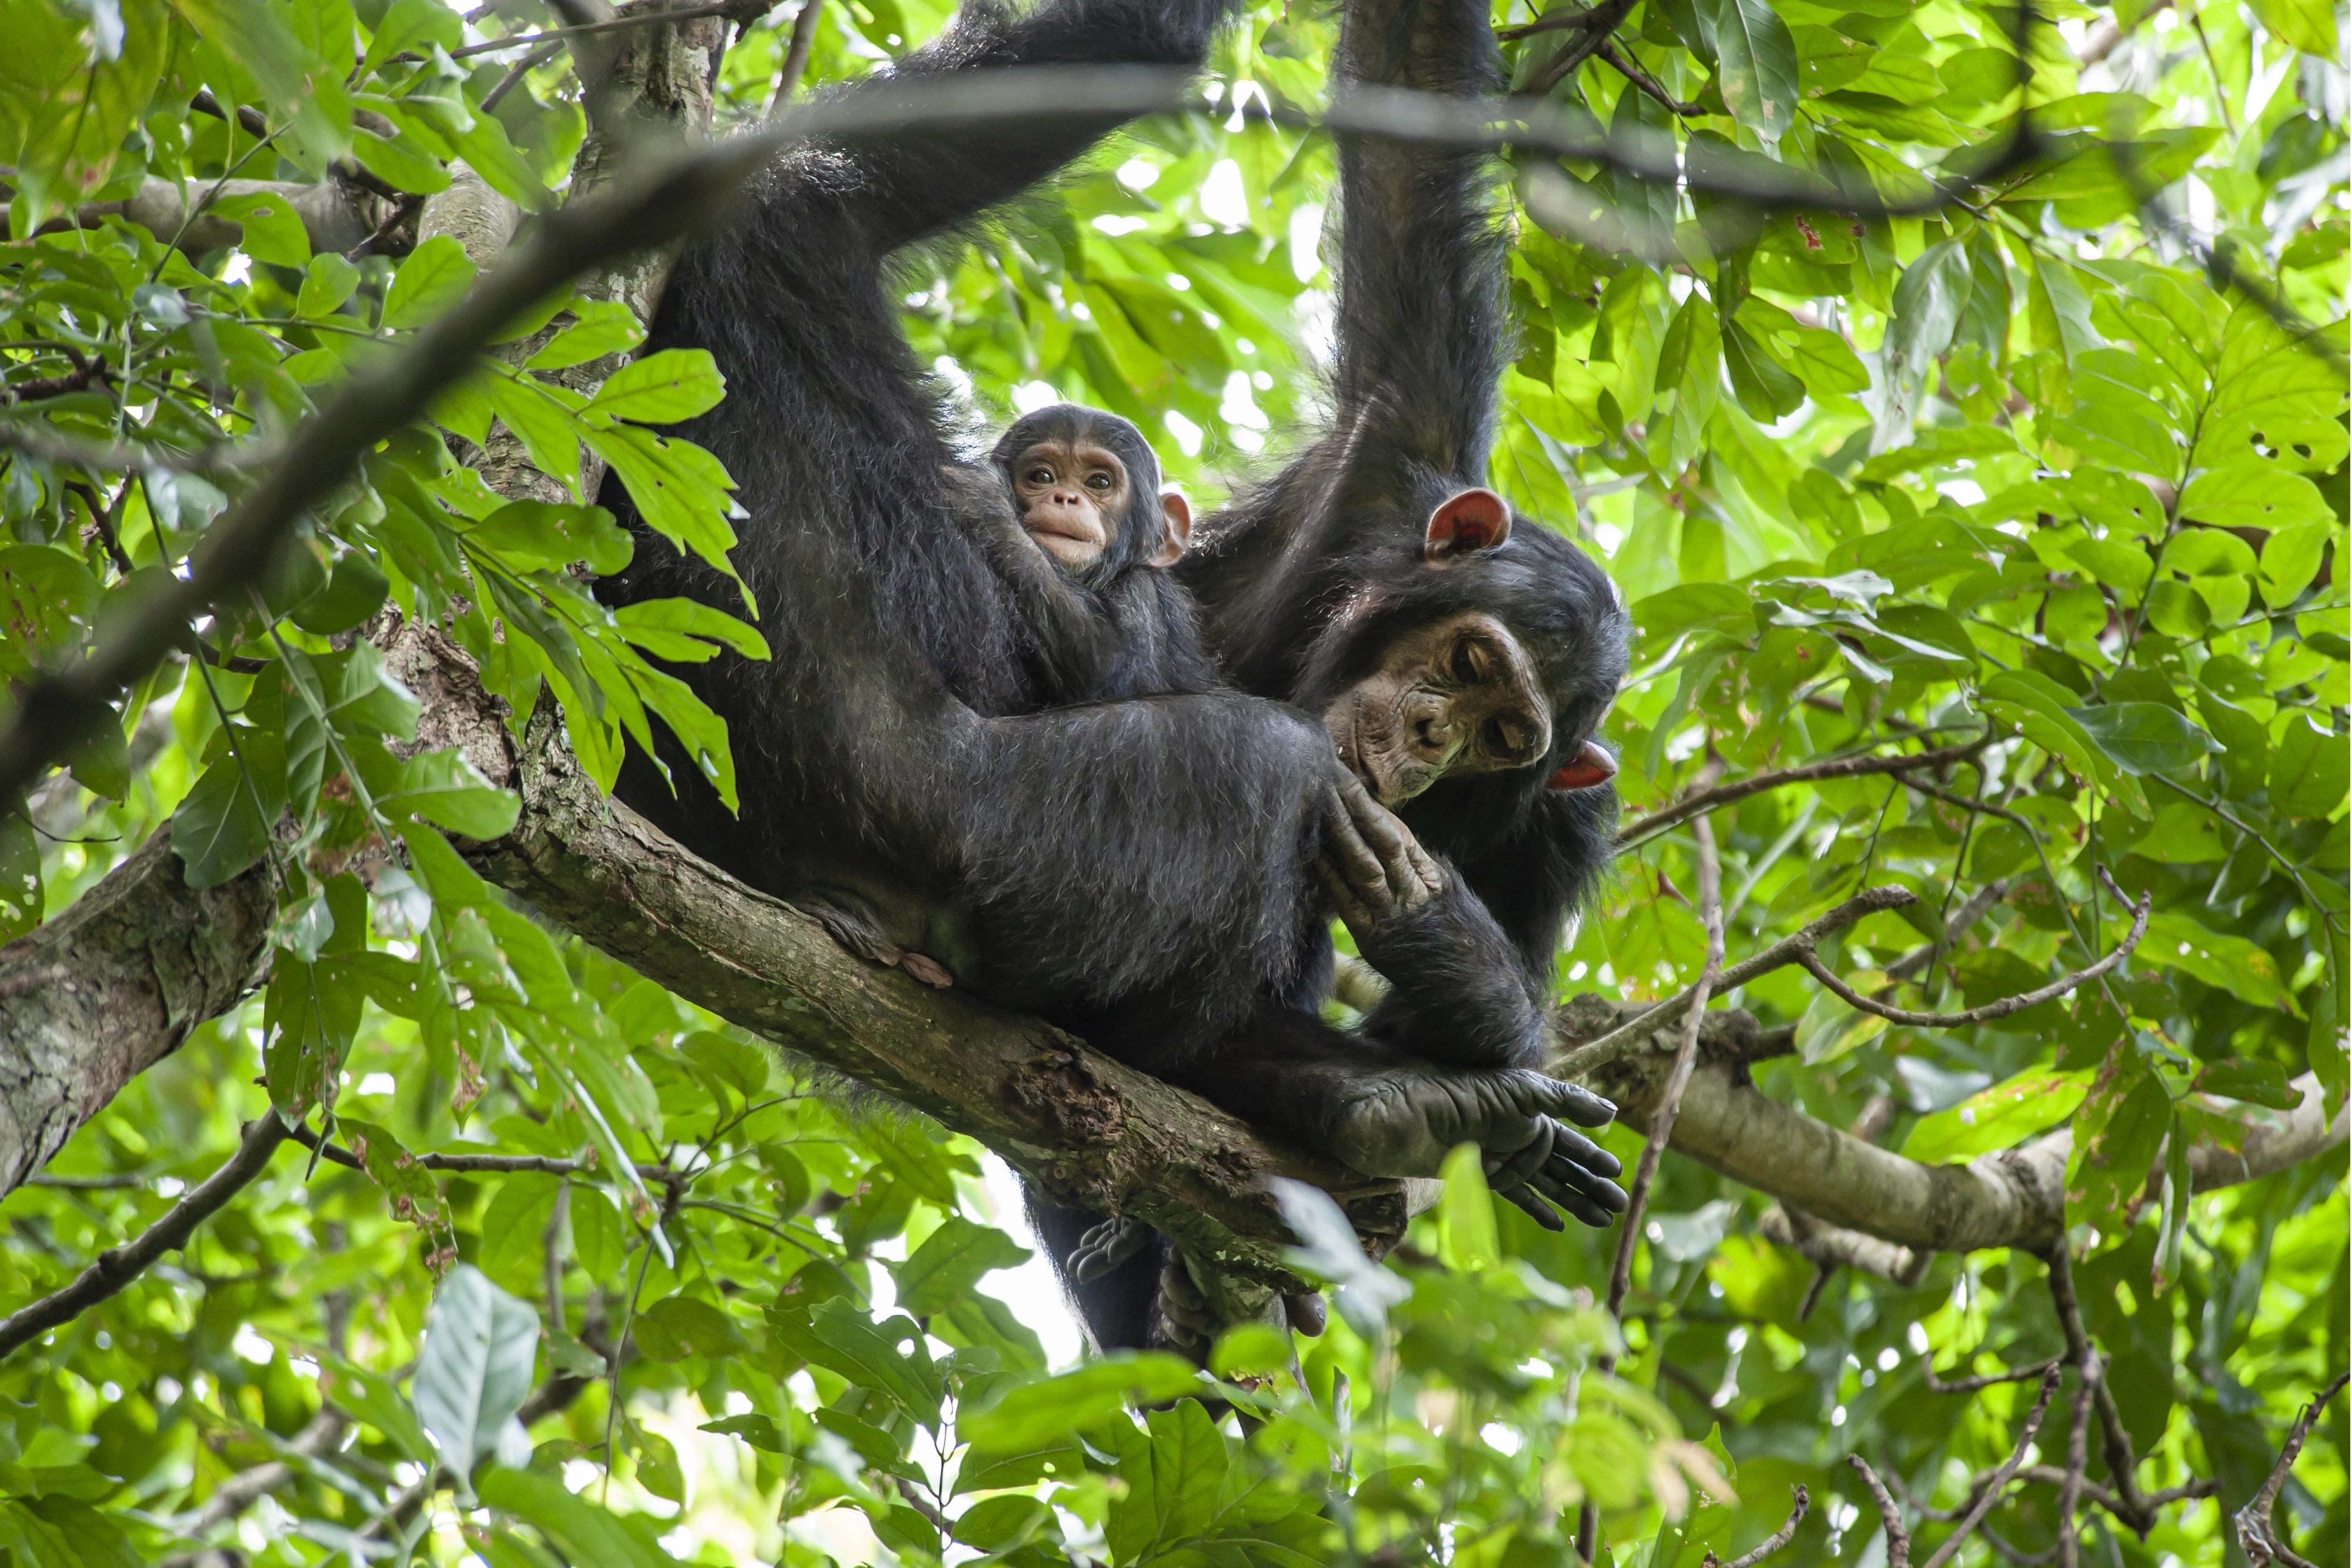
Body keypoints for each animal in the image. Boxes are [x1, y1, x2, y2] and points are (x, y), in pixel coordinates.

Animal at [588, 0, 1628, 1354]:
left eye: (1506, 732)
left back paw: (1382, 1120)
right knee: (1263, 766)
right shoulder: (1394, 450)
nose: (1422, 737)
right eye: (1464, 661)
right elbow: (1412, 154)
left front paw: (1443, 937)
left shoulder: (1560, 819)